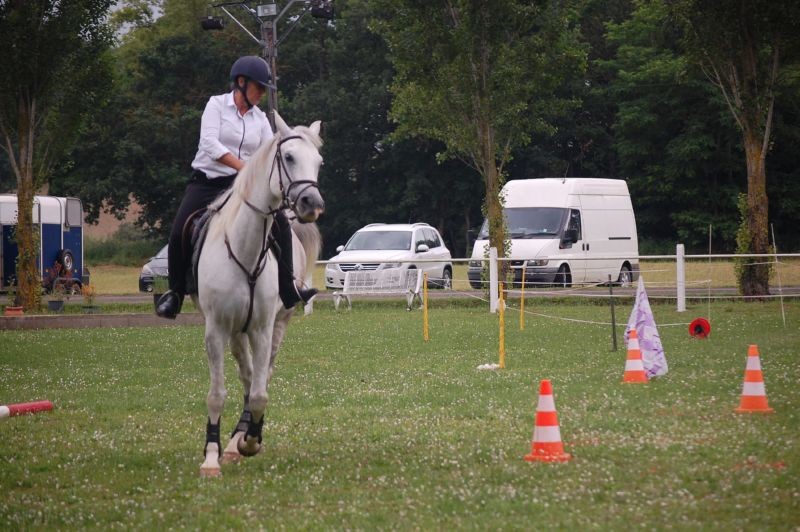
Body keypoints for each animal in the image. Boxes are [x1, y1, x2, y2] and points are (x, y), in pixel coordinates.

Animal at [192, 112, 324, 477]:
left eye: (318, 162)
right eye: (289, 157)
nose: (312, 205)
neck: (245, 251)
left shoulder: (263, 329)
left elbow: (261, 393)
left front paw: (250, 441)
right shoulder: (216, 330)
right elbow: (218, 392)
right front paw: (211, 456)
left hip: (275, 324)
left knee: (258, 378)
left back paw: (242, 438)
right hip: (235, 331)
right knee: (247, 374)